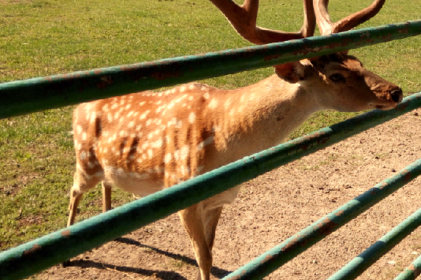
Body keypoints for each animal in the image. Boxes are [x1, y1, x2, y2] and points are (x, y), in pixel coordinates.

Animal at [67, 1, 402, 278]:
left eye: (358, 60)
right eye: (335, 75)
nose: (395, 91)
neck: (224, 145)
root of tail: (76, 108)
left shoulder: (219, 200)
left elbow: (212, 250)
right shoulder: (182, 194)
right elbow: (202, 257)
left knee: (107, 183)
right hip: (84, 159)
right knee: (74, 190)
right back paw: (70, 252)